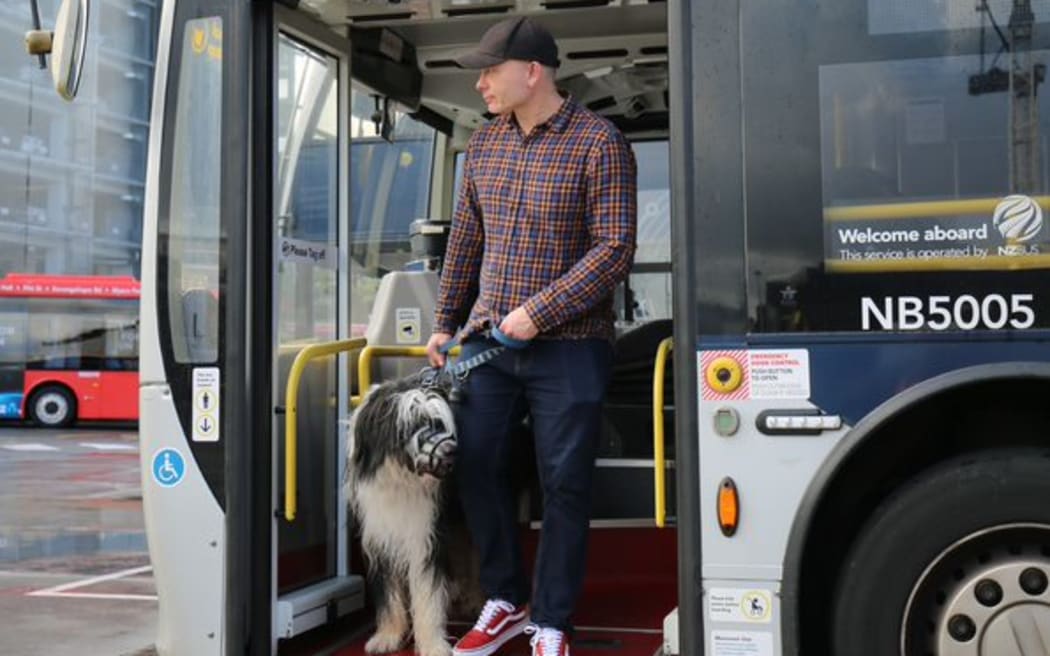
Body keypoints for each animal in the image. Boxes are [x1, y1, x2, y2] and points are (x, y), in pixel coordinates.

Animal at [348, 371, 459, 654]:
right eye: (413, 424)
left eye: (438, 423)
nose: (451, 451)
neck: (400, 479)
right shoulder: (380, 538)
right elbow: (389, 596)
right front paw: (388, 636)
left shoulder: (426, 538)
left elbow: (427, 595)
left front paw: (433, 644)